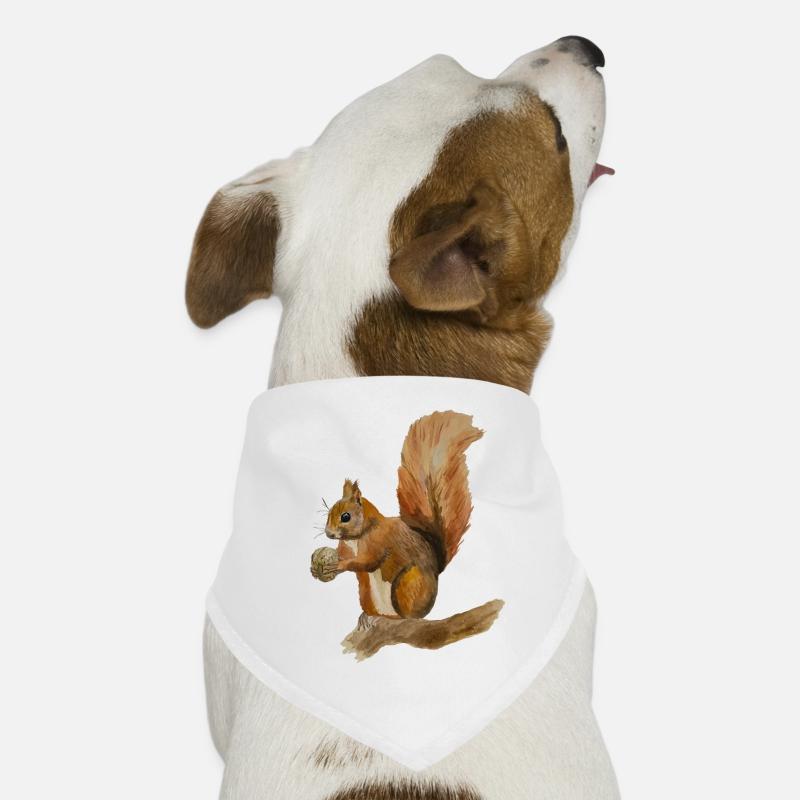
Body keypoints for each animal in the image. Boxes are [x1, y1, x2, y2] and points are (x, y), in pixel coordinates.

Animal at [313, 411, 485, 621]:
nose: (329, 533)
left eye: (346, 517)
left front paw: (339, 565)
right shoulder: (346, 546)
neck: (358, 536)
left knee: (410, 615)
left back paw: (398, 618)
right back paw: (370, 616)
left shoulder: (378, 541)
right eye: (328, 513)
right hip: (366, 593)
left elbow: (367, 562)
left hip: (408, 582)